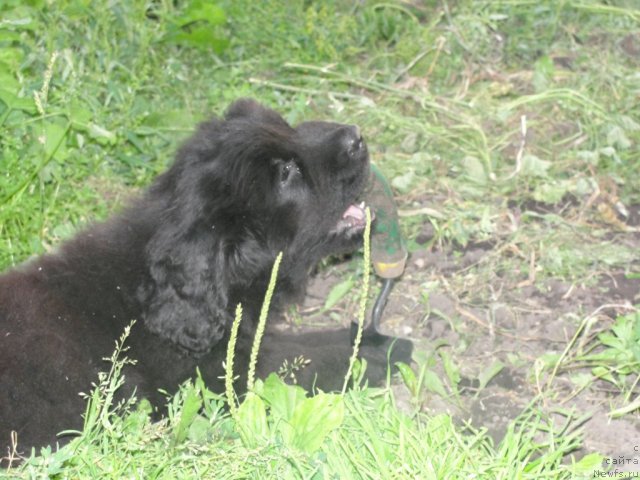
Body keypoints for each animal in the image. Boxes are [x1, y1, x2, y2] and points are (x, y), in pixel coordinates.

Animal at [0, 98, 410, 462]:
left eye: (284, 125)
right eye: (285, 173)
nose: (356, 136)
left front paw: (370, 339)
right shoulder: (225, 375)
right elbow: (306, 359)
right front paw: (381, 351)